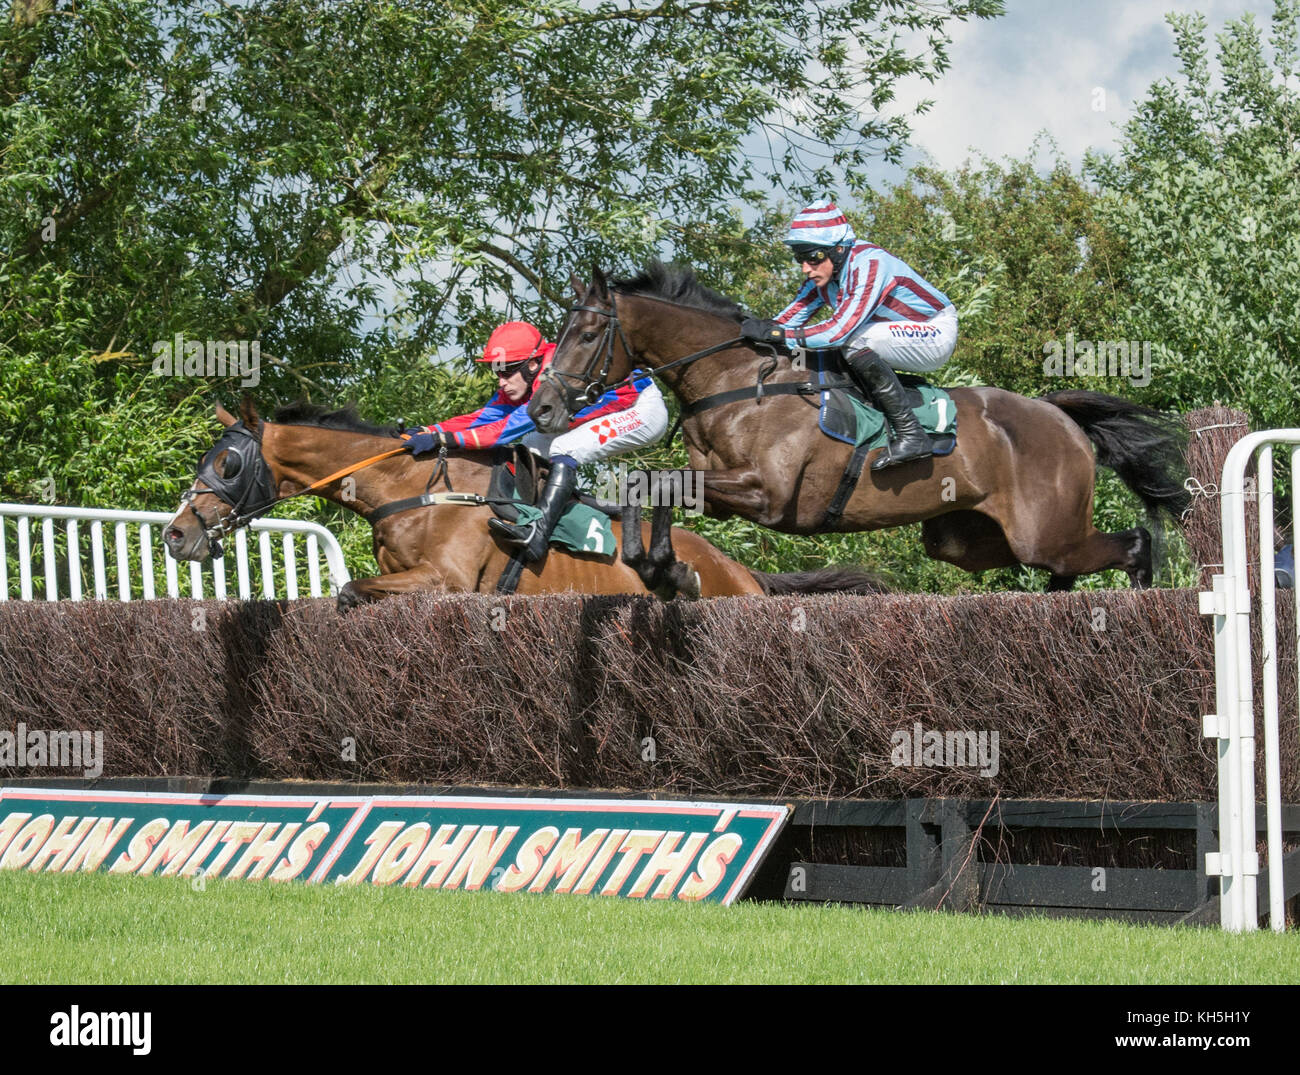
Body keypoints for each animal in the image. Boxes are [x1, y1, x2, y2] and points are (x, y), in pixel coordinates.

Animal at [162, 400, 889, 608]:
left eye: (226, 464)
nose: (176, 534)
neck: (414, 492)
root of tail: (746, 574)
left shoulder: (448, 579)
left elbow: (350, 591)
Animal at [525, 266, 1190, 592]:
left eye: (588, 334)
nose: (544, 410)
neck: (737, 380)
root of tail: (1057, 415)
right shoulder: (716, 486)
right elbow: (652, 484)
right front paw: (659, 567)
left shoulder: (767, 495)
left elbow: (657, 482)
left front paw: (667, 567)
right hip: (966, 540)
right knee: (1063, 566)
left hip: (1042, 532)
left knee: (1130, 544)